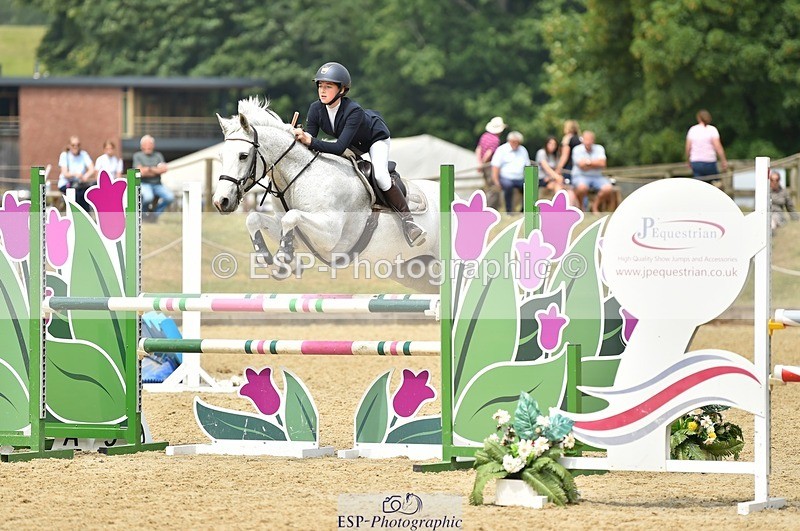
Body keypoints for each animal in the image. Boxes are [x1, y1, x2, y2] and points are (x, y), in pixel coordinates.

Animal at [212, 97, 441, 293]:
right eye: (220, 156)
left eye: (243, 156)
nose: (220, 201)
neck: (298, 176)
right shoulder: (298, 234)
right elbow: (254, 218)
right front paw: (275, 261)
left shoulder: (330, 234)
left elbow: (291, 216)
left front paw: (284, 258)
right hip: (410, 270)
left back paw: (413, 230)